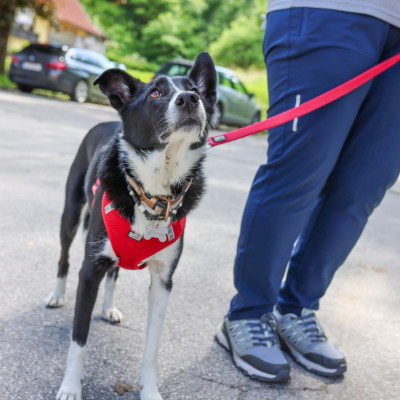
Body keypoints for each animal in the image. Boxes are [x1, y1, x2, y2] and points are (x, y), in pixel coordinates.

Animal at [46, 51, 219, 398]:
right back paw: (57, 294)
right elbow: (78, 341)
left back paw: (109, 307)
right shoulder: (90, 271)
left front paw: (149, 390)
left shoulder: (163, 282)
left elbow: (151, 349)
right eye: (155, 92)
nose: (189, 99)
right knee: (64, 256)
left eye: (195, 88)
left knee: (115, 272)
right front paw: (70, 387)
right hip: (71, 214)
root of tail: (107, 119)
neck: (153, 192)